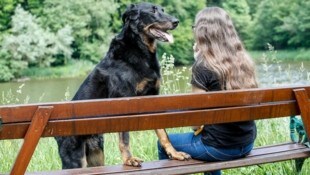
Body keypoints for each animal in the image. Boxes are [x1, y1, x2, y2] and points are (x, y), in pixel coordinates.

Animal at [55, 1, 191, 168]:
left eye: (162, 9)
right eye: (152, 11)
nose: (176, 21)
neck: (139, 49)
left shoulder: (153, 97)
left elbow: (163, 133)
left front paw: (174, 153)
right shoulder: (124, 98)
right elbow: (124, 138)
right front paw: (128, 159)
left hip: (96, 155)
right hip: (76, 160)